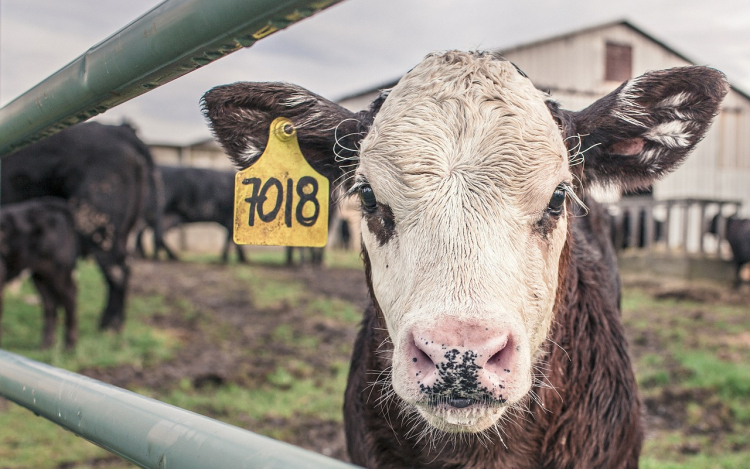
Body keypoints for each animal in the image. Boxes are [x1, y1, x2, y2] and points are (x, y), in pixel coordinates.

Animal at [0, 197, 79, 348]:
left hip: (59, 270)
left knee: (69, 297)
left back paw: (69, 345)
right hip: (40, 274)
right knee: (50, 303)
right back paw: (46, 344)